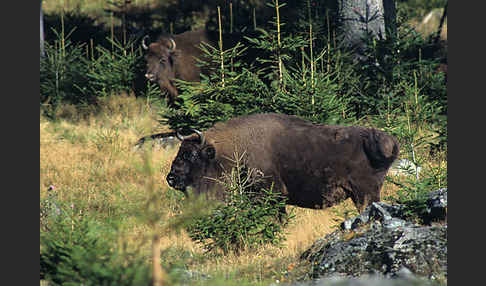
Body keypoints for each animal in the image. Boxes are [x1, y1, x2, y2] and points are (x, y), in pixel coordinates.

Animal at [163, 113, 398, 213]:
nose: (171, 178)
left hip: (364, 193)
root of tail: (385, 139)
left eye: (191, 155)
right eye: (180, 151)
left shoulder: (272, 195)